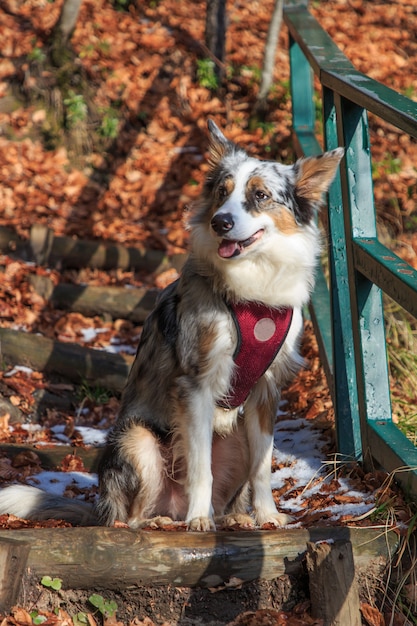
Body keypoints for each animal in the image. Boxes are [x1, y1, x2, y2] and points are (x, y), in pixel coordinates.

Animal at [0, 120, 342, 528]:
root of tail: (102, 507)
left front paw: (267, 515)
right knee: (130, 518)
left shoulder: (266, 390)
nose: (220, 222)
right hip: (137, 439)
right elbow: (199, 466)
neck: (254, 286)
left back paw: (233, 518)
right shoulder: (196, 384)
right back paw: (166, 521)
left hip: (236, 438)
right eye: (222, 193)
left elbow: (262, 466)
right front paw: (199, 521)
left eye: (260, 195)